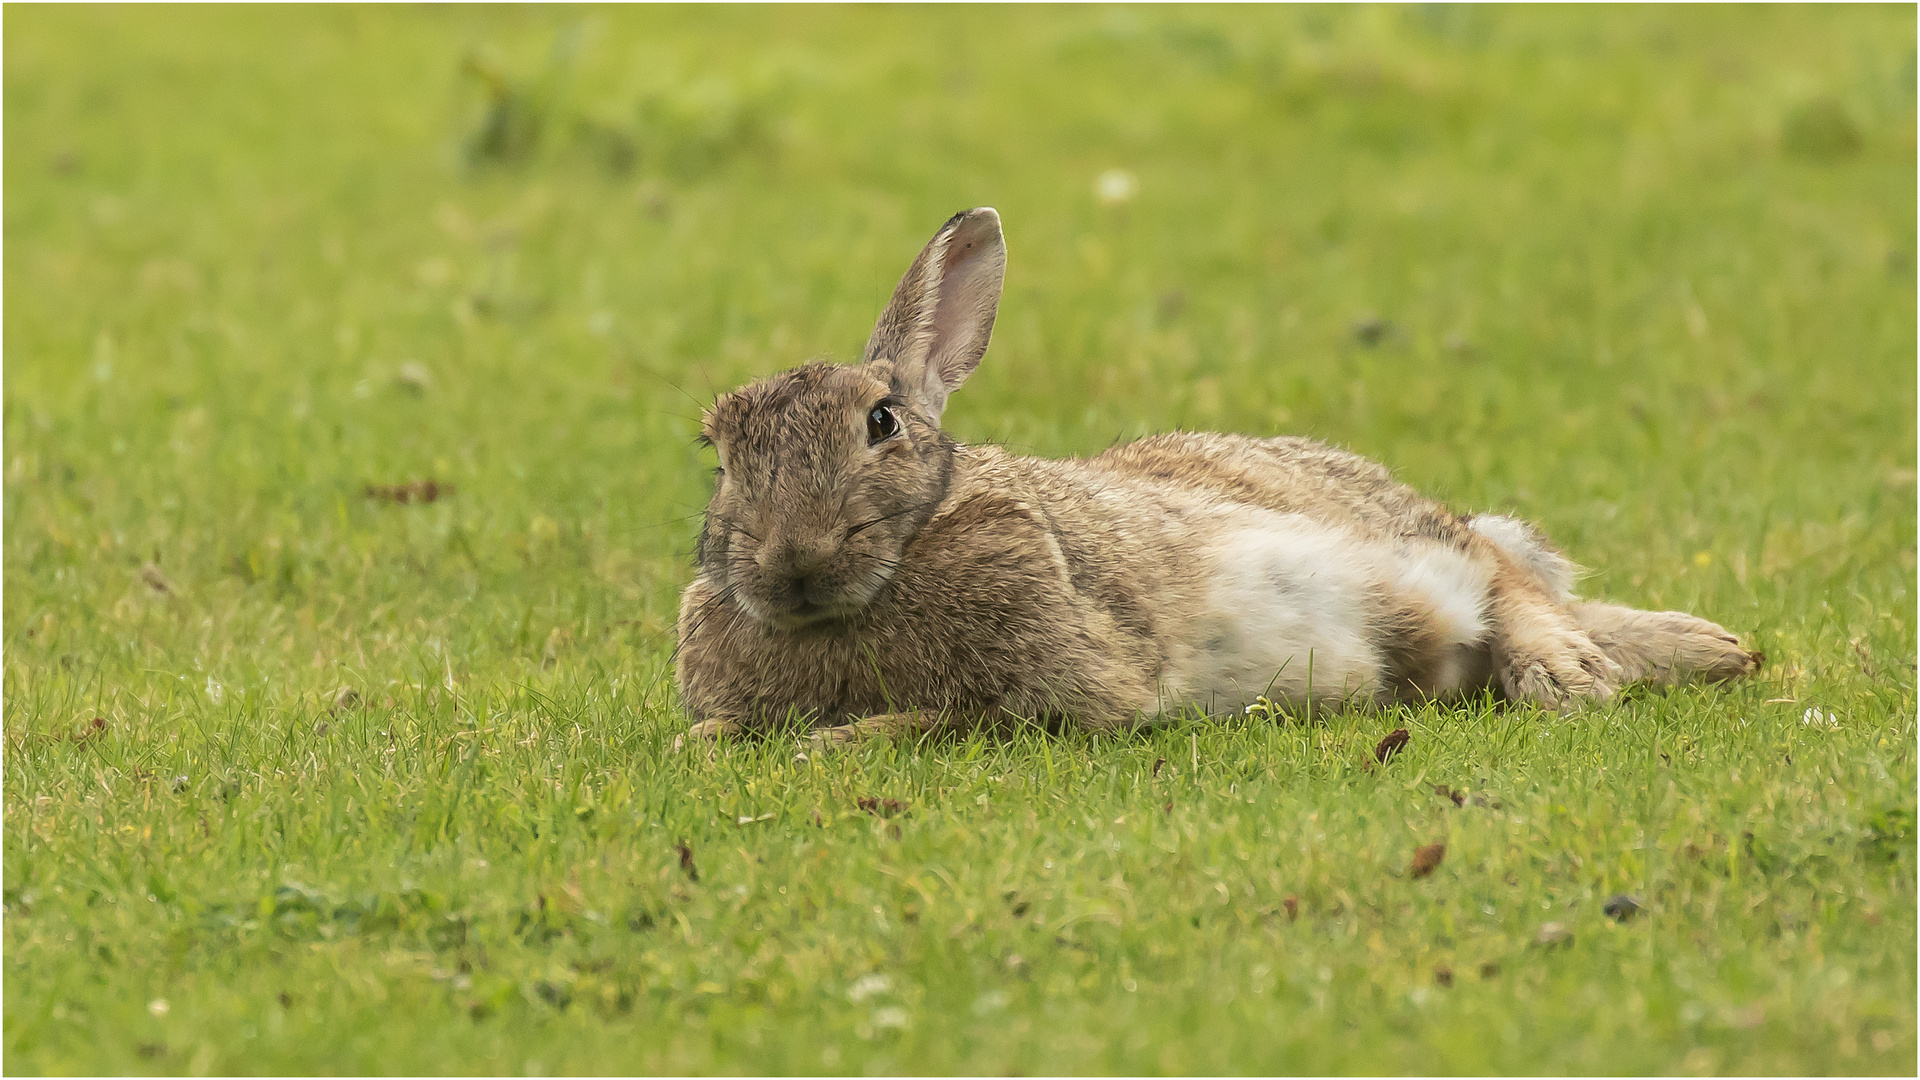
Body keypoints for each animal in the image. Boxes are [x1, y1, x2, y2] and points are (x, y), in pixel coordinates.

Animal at [675, 210, 1766, 749]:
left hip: (1397, 534)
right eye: (717, 451)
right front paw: (720, 744)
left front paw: (831, 743)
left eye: (881, 423)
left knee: (1501, 570)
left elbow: (939, 722)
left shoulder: (1069, 687)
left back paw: (1589, 671)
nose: (793, 562)